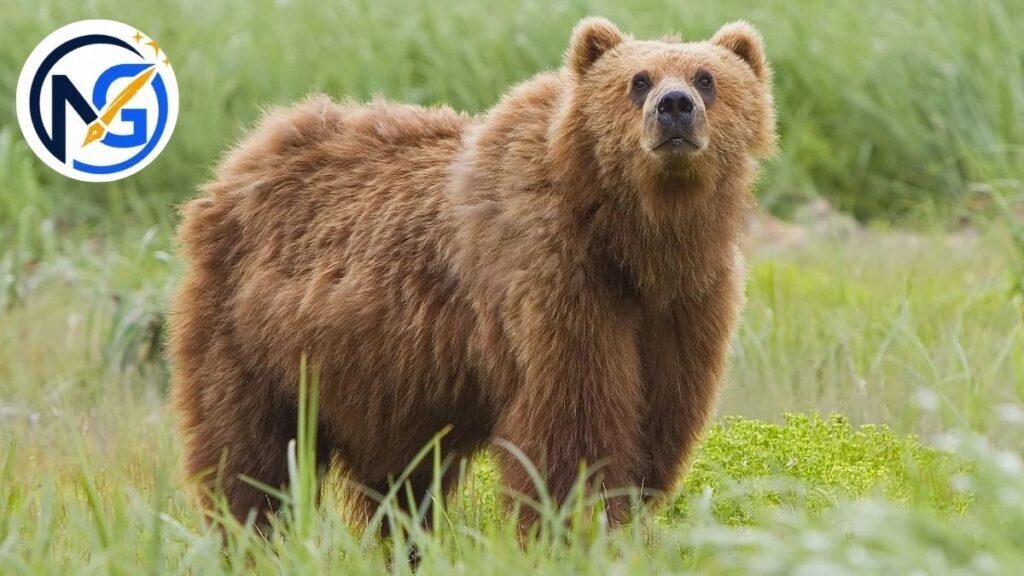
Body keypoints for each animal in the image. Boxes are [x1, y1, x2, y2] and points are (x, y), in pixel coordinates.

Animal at [168, 16, 776, 531]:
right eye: (638, 80)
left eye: (706, 78)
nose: (675, 106)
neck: (634, 242)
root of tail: (243, 156)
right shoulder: (553, 281)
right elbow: (572, 427)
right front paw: (575, 524)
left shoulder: (686, 305)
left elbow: (657, 421)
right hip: (252, 336)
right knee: (250, 455)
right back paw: (249, 534)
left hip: (383, 381)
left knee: (399, 485)